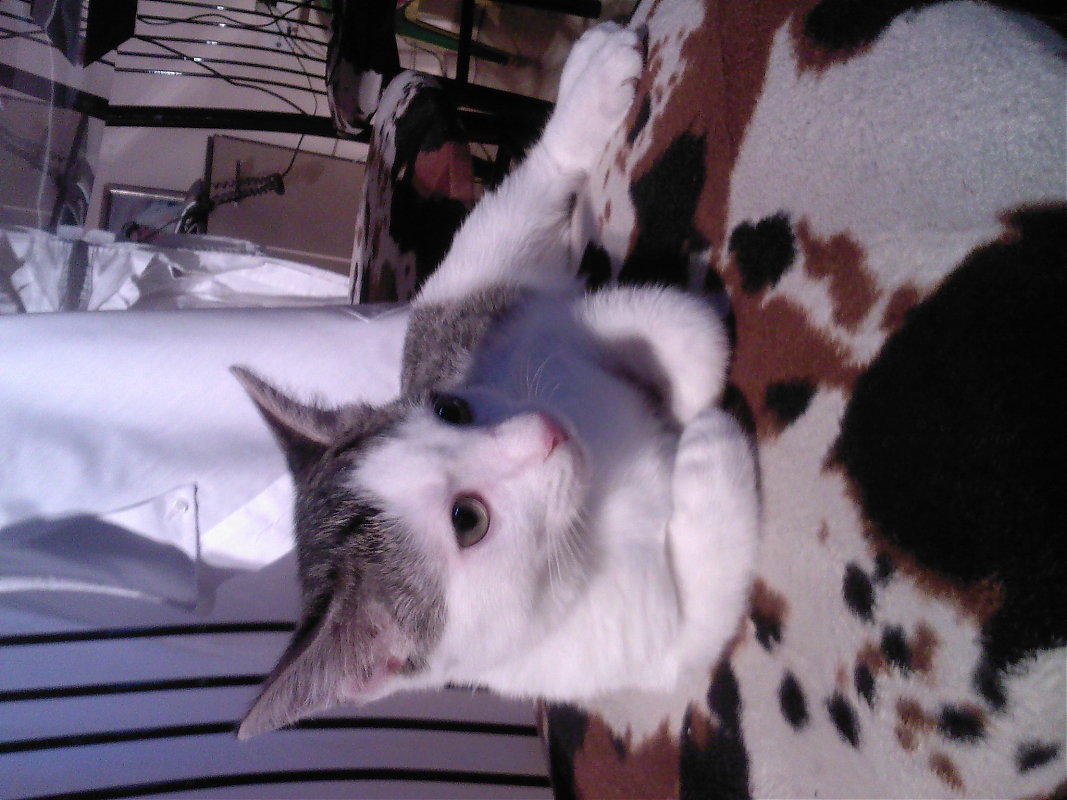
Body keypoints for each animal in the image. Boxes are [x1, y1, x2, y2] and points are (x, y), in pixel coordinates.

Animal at [234, 23, 759, 740]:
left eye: (452, 410)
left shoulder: (548, 332)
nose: (545, 430)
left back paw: (591, 79)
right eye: (467, 520)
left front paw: (684, 378)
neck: (594, 509)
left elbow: (665, 328)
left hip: (469, 284)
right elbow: (703, 612)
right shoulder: (643, 658)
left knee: (528, 191)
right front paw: (706, 443)